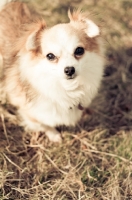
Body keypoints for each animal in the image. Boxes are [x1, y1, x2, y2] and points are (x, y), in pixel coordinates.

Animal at [0, 1, 104, 142]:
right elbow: (44, 124)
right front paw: (54, 135)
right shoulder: (29, 111)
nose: (69, 69)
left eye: (79, 50)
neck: (66, 88)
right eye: (50, 56)